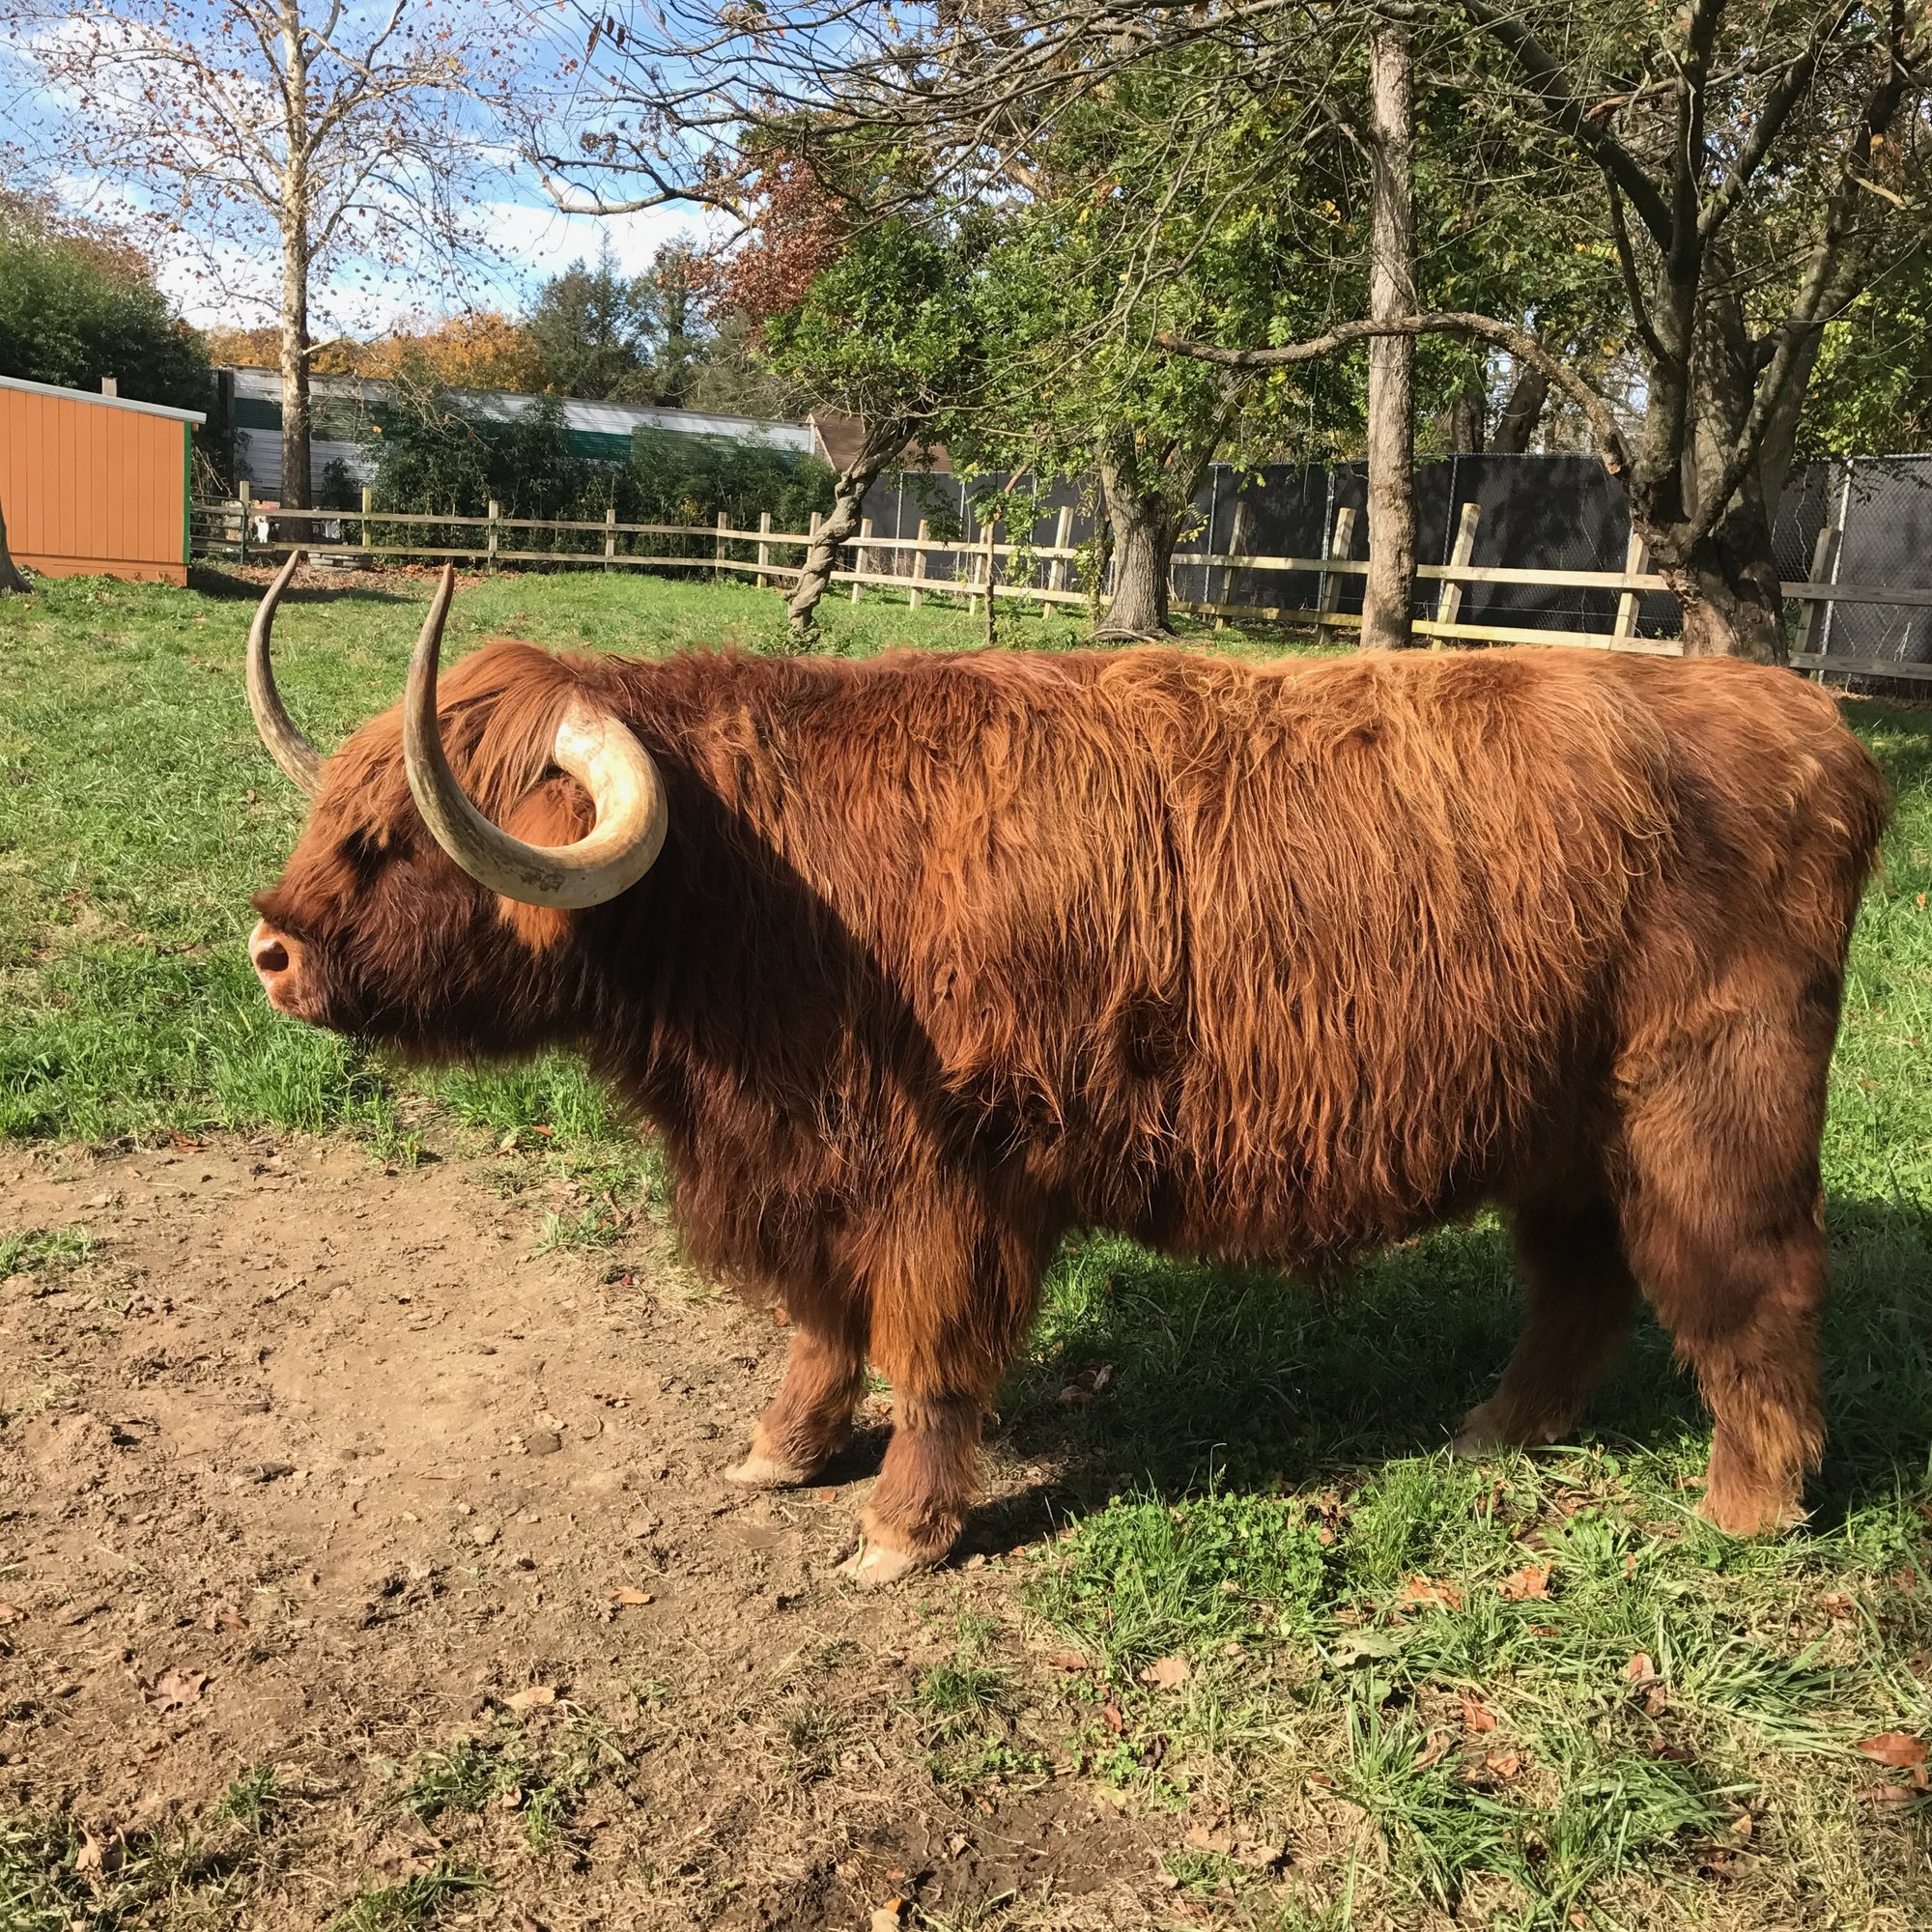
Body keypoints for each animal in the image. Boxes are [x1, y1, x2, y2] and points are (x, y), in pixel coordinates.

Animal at [241, 555, 1888, 1584]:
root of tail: (1811, 718)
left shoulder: (950, 1184)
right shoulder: (817, 1169)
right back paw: (1496, 1429)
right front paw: (781, 1451)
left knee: (1752, 1281)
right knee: (1584, 1278)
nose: (270, 951)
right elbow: (820, 1328)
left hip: (1710, 1103)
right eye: (335, 812)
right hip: (1561, 1122)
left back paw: (1752, 1504)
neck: (757, 893)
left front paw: (900, 1532)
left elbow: (930, 1357)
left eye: (395, 838)